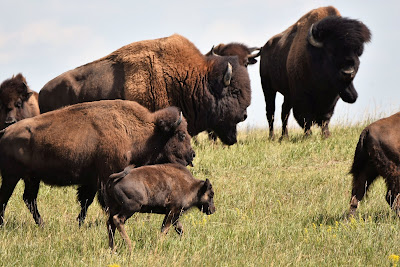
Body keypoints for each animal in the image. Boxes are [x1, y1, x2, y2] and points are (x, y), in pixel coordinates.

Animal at [0, 100, 195, 226]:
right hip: (12, 177)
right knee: (6, 198)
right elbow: (102, 203)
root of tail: (5, 132)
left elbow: (85, 202)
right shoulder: (107, 176)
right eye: (181, 135)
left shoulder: (92, 181)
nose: (191, 155)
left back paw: (41, 224)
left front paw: (79, 224)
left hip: (31, 178)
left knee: (29, 199)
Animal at [260, 5, 372, 140]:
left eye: (358, 52)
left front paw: (326, 135)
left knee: (284, 112)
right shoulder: (301, 96)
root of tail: (264, 47)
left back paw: (284, 137)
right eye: (331, 51)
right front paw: (308, 136)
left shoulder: (332, 98)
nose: (348, 72)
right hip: (268, 88)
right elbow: (305, 118)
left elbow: (325, 118)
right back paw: (272, 137)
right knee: (270, 112)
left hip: (287, 94)